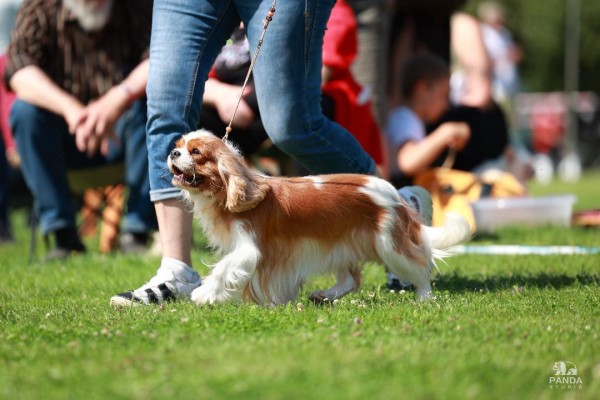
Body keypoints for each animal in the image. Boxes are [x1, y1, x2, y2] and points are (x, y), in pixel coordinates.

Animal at [168, 129, 471, 305]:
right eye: (179, 145)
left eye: (196, 152)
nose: (172, 152)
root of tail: (396, 196)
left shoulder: (249, 249)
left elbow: (223, 268)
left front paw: (203, 295)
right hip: (341, 245)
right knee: (350, 280)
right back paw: (324, 295)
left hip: (388, 244)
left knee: (420, 266)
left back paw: (424, 297)